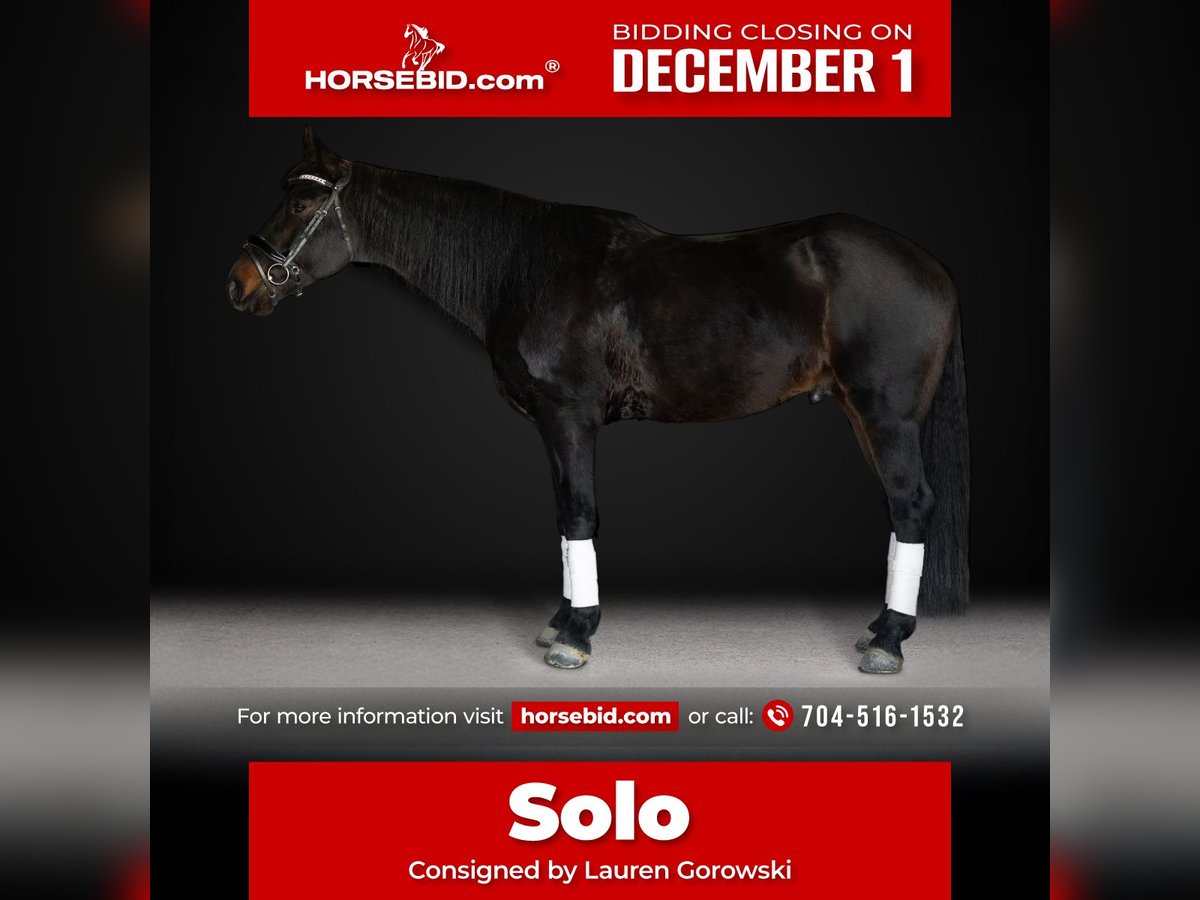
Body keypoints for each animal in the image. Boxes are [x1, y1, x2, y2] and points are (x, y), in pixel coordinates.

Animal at [226, 128, 970, 675]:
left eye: (301, 204)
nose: (239, 283)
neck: (524, 267)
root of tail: (932, 265)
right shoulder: (555, 426)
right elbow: (564, 516)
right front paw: (560, 620)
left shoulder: (569, 418)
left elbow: (579, 513)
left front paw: (575, 635)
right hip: (859, 413)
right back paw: (878, 629)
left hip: (885, 415)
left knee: (911, 506)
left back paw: (888, 641)